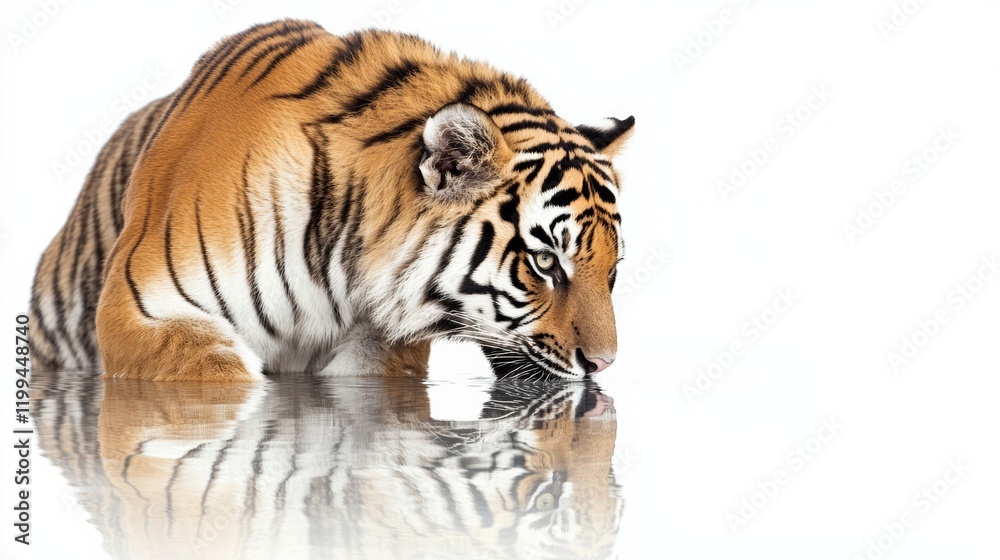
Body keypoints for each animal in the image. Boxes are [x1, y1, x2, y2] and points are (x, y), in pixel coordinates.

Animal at [28, 19, 635, 381]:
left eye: (612, 270)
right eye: (545, 262)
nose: (604, 365)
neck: (345, 257)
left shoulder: (377, 347)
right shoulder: (145, 310)